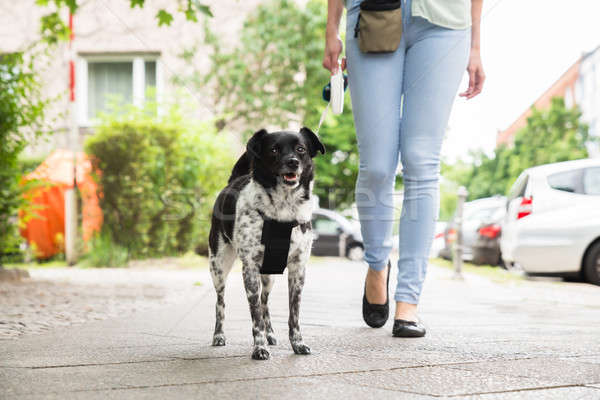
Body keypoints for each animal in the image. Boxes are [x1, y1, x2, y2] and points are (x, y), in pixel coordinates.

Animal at [209, 127, 326, 360]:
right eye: (273, 150)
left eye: (301, 149)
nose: (292, 162)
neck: (283, 209)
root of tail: (233, 181)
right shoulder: (250, 269)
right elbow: (255, 316)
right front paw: (259, 347)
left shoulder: (298, 269)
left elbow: (293, 313)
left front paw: (297, 344)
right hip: (218, 267)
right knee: (221, 301)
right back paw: (219, 335)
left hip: (269, 275)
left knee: (265, 302)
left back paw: (271, 334)